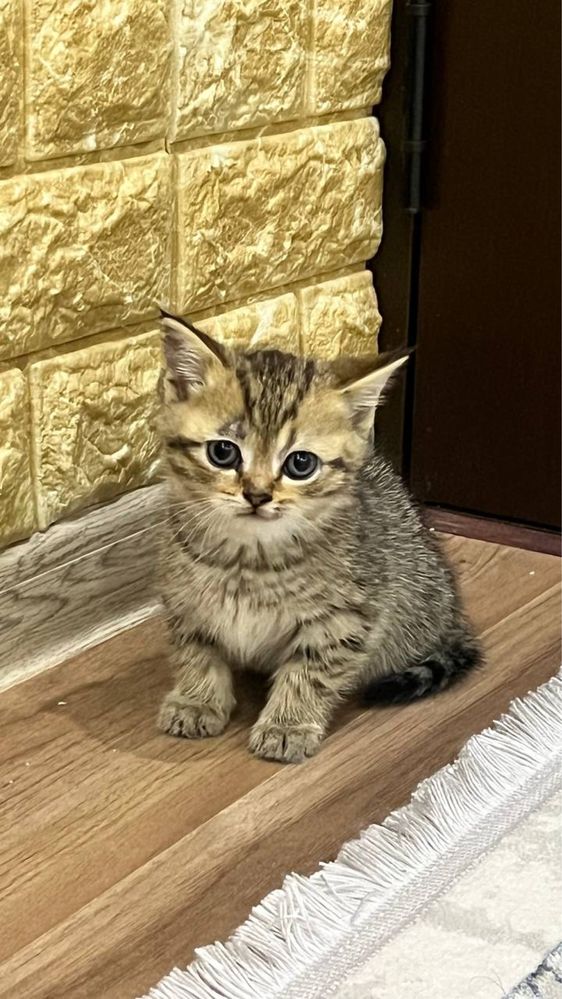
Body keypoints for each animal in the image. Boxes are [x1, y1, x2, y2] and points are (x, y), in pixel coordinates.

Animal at [155, 314, 480, 764]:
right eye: (223, 453)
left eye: (300, 464)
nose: (257, 495)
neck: (249, 560)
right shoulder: (184, 600)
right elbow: (196, 652)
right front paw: (197, 699)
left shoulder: (345, 618)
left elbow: (311, 672)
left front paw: (287, 725)